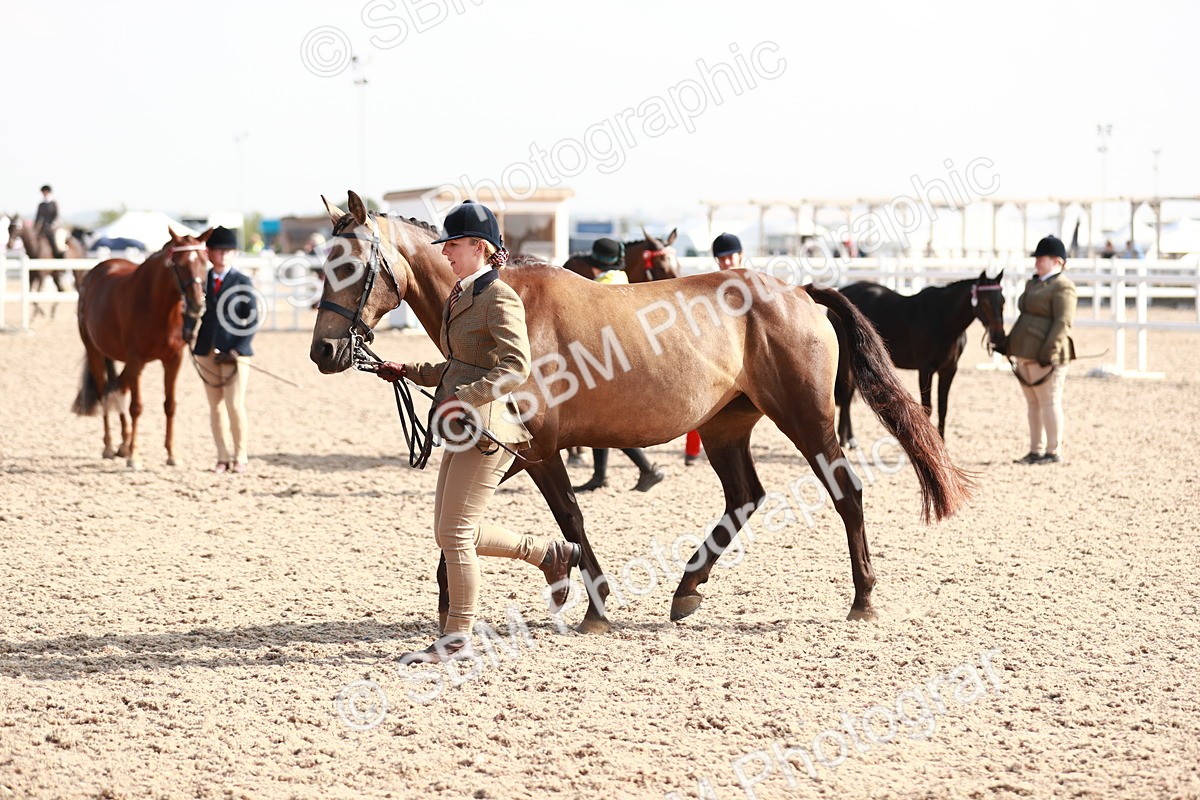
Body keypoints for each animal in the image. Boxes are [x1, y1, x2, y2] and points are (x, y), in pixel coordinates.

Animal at [72, 228, 213, 468]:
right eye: (179, 264)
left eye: (205, 262)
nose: (197, 304)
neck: (158, 306)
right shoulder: (136, 359)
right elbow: (136, 407)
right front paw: (135, 457)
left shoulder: (173, 360)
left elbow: (170, 405)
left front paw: (172, 454)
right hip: (95, 352)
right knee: (104, 393)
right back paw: (110, 446)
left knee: (117, 389)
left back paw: (124, 444)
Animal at [309, 191, 970, 634]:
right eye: (321, 264)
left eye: (352, 266)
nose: (324, 352)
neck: (501, 299)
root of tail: (801, 292)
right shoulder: (516, 448)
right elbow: (465, 527)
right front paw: (454, 598)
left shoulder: (539, 448)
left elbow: (571, 519)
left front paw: (596, 610)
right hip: (724, 426)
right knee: (745, 497)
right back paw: (687, 589)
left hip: (808, 422)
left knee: (845, 492)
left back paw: (863, 599)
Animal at [835, 271, 1008, 448]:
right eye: (985, 302)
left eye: (1003, 300)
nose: (998, 336)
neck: (943, 319)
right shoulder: (925, 369)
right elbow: (927, 408)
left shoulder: (948, 370)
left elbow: (943, 407)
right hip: (845, 358)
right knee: (846, 396)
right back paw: (847, 439)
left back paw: (846, 437)